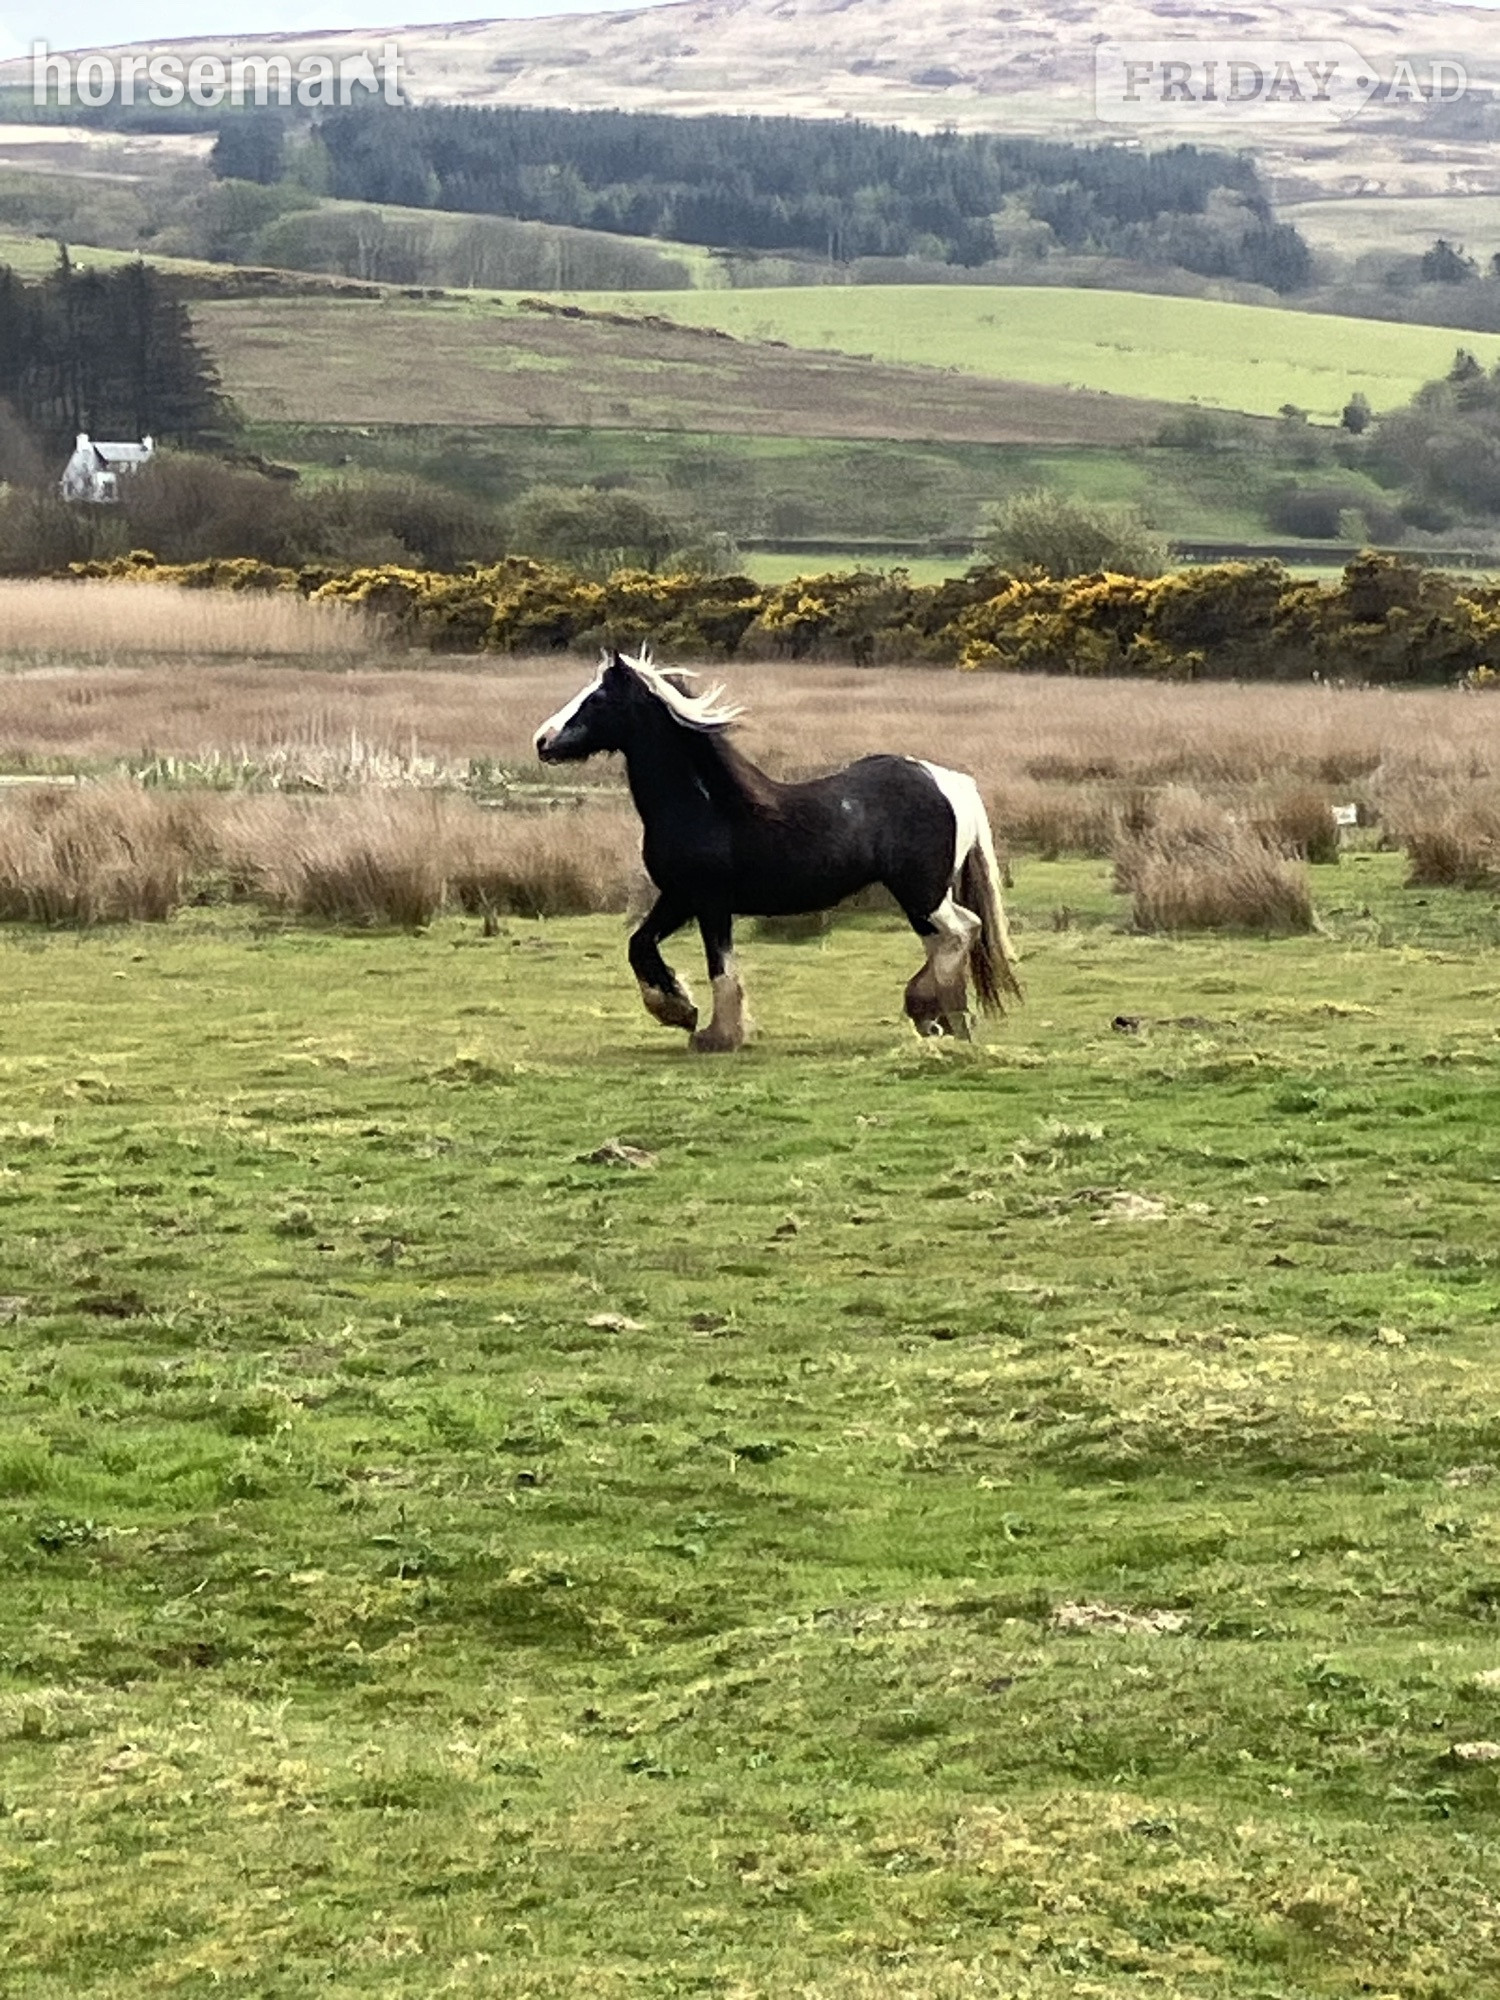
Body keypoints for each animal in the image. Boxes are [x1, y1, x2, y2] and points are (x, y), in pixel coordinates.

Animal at [533, 649, 1021, 1052]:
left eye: (597, 698)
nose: (542, 740)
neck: (706, 803)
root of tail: (949, 782)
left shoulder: (710, 902)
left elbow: (720, 967)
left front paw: (716, 1034)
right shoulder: (678, 897)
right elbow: (640, 945)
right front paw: (678, 1009)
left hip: (920, 892)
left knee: (960, 931)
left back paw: (945, 1015)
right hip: (922, 896)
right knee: (950, 936)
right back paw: (935, 1015)